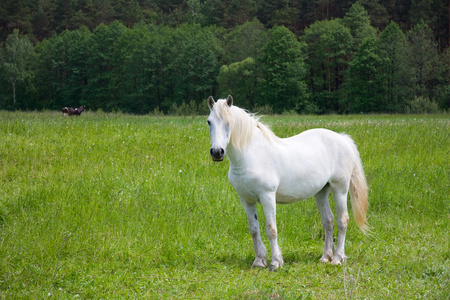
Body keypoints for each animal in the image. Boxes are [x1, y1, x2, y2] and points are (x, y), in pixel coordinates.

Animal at [207, 96, 370, 272]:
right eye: (209, 121)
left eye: (228, 122)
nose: (217, 152)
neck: (253, 155)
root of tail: (343, 138)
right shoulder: (246, 200)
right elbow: (254, 229)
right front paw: (259, 261)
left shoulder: (267, 197)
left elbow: (271, 229)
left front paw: (275, 263)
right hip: (321, 192)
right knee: (328, 221)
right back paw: (326, 257)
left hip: (340, 189)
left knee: (342, 221)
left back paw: (338, 258)